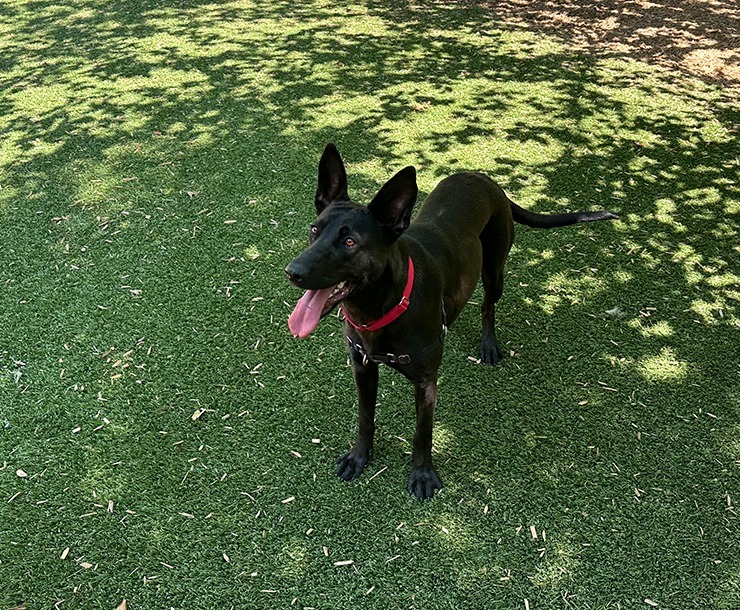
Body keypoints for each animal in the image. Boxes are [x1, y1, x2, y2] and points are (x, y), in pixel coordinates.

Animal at [286, 144, 616, 498]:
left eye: (350, 242)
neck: (379, 309)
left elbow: (422, 434)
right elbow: (365, 417)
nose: (293, 271)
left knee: (488, 306)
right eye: (315, 230)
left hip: (494, 270)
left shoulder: (425, 383)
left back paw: (488, 345)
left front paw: (422, 474)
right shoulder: (362, 368)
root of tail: (484, 179)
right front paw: (359, 456)